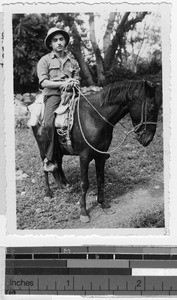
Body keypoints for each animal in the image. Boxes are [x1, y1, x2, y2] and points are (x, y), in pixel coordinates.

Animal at [31, 79, 162, 223]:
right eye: (152, 109)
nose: (148, 139)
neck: (95, 117)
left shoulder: (100, 155)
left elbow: (101, 179)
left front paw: (103, 204)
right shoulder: (84, 156)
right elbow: (84, 184)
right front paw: (83, 212)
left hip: (58, 149)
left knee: (58, 164)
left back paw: (64, 184)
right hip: (43, 147)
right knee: (46, 167)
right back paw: (48, 193)